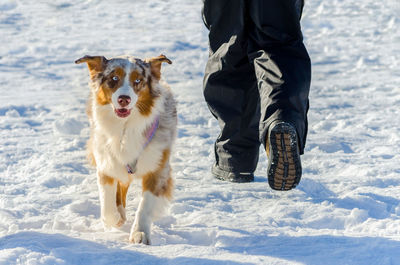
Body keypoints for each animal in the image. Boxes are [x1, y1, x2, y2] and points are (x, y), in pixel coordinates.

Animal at [76, 53, 176, 243]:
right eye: (114, 78)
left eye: (138, 80)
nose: (124, 99)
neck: (125, 127)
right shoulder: (107, 163)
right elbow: (107, 204)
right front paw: (116, 218)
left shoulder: (158, 168)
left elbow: (145, 206)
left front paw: (140, 233)